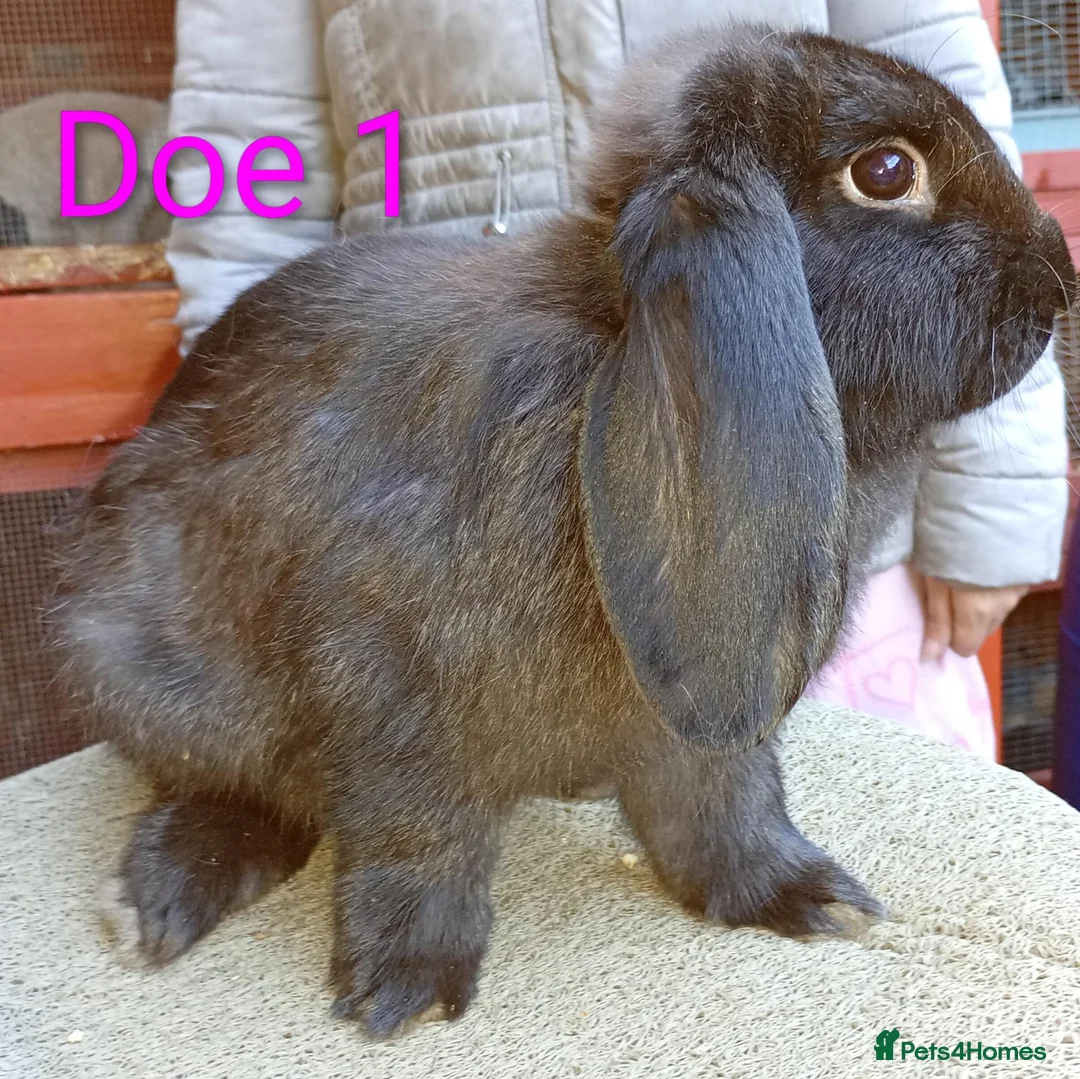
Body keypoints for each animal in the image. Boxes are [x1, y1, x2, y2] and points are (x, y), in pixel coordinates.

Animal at [53, 25, 1075, 1036]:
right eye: (887, 170)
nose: (1058, 278)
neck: (601, 336)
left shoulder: (698, 715)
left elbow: (724, 805)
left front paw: (803, 897)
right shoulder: (395, 686)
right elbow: (419, 831)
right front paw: (407, 984)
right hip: (159, 675)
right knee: (242, 787)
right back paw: (157, 899)